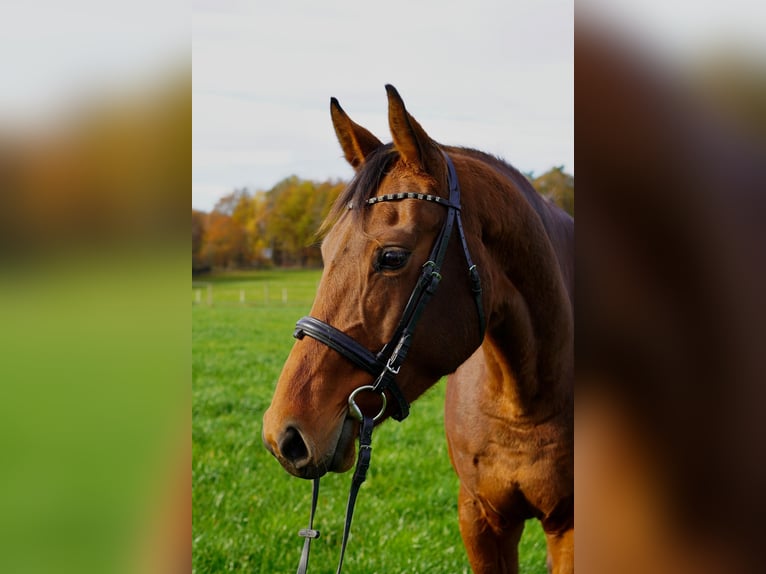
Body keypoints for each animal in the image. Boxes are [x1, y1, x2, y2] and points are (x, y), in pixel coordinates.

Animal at [262, 85, 574, 574]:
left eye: (392, 257)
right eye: (326, 252)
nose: (284, 435)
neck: (523, 403)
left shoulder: (568, 528)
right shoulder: (480, 517)